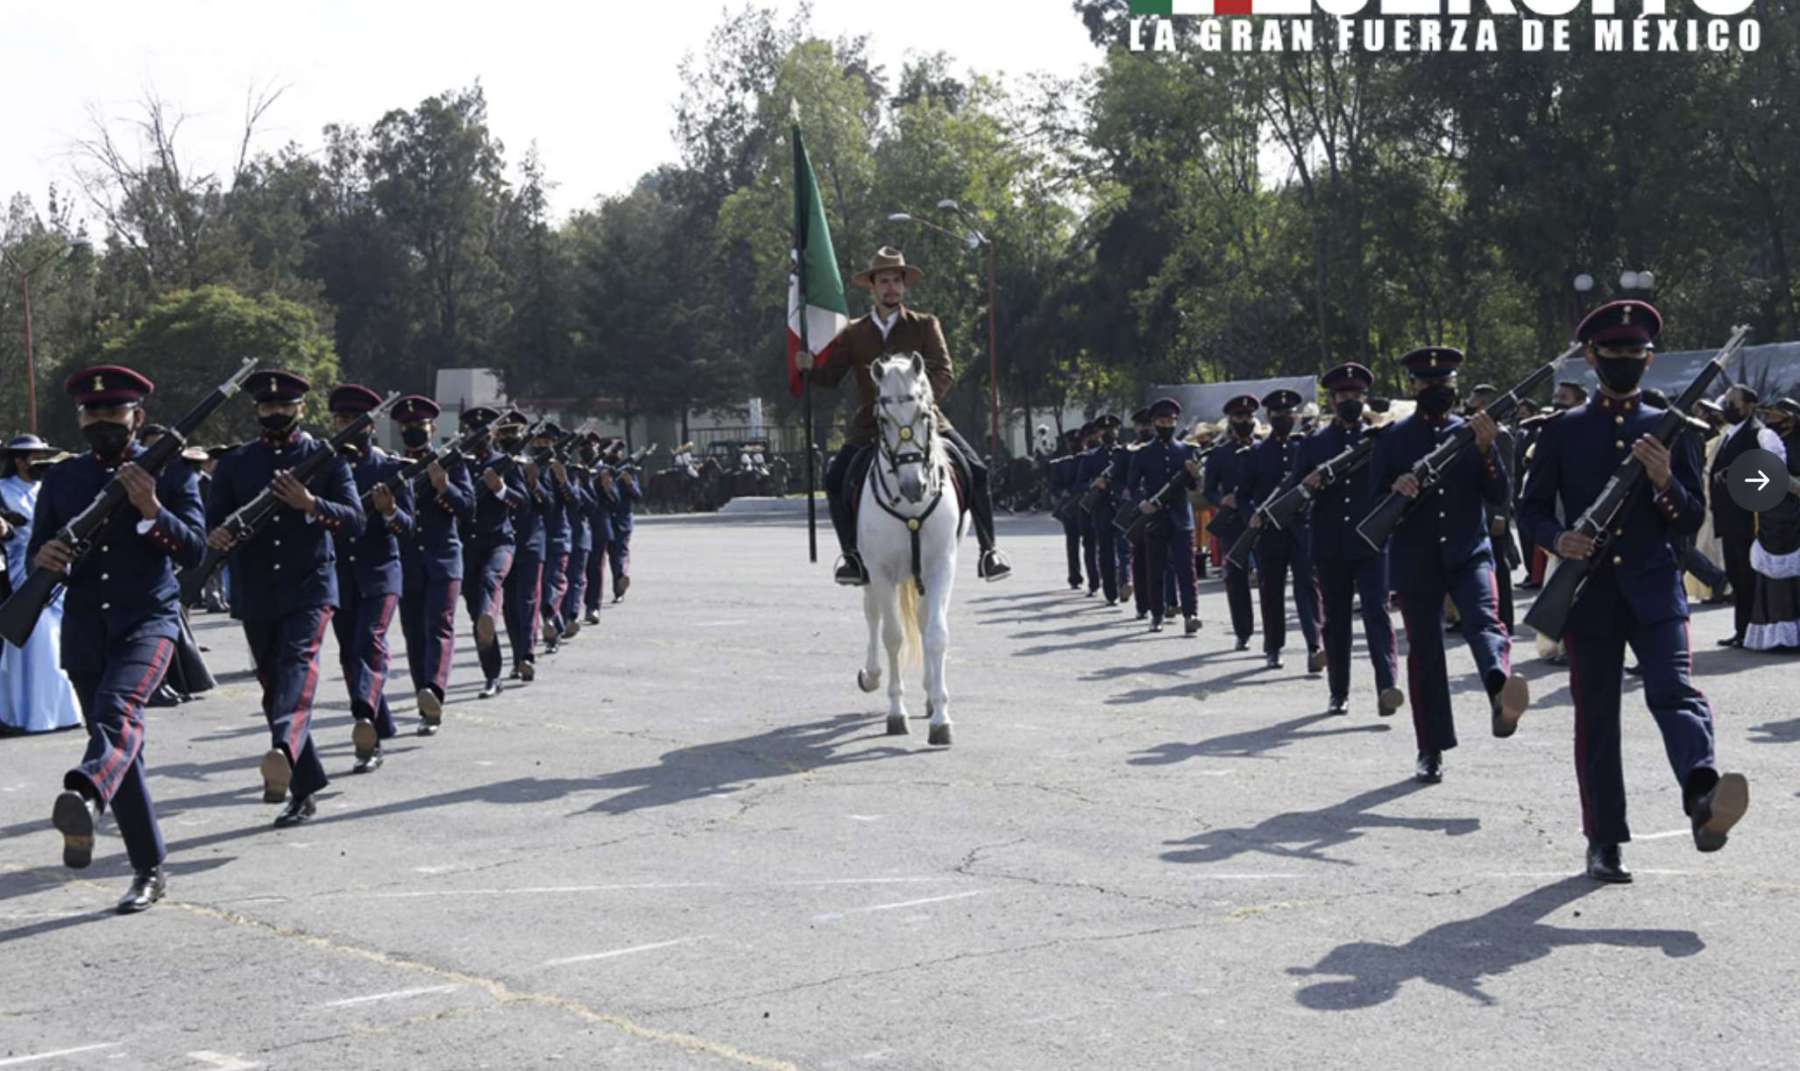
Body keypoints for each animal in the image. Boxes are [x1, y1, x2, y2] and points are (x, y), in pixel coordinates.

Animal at [849, 352, 964, 745]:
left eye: (924, 413)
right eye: (882, 419)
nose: (914, 485)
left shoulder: (941, 565)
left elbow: (936, 634)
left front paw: (941, 717)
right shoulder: (880, 570)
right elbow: (892, 636)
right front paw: (896, 713)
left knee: (925, 619)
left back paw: (929, 694)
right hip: (869, 574)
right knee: (872, 615)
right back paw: (871, 675)